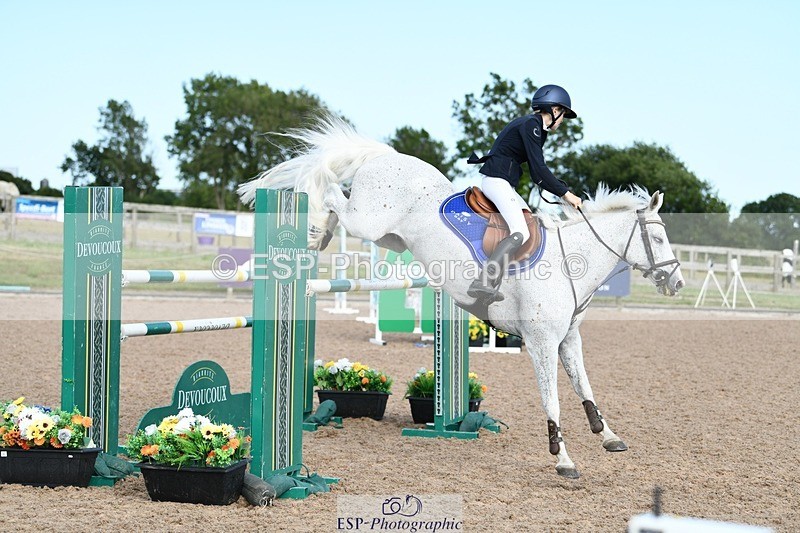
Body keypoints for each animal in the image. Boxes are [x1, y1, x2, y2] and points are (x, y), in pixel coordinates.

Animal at [239, 115, 685, 478]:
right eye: (659, 237)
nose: (677, 283)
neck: (568, 263)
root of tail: (387, 156)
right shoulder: (541, 343)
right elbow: (553, 400)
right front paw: (563, 459)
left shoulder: (568, 339)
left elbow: (585, 388)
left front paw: (607, 435)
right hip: (367, 221)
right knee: (332, 193)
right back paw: (316, 232)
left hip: (388, 236)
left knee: (340, 202)